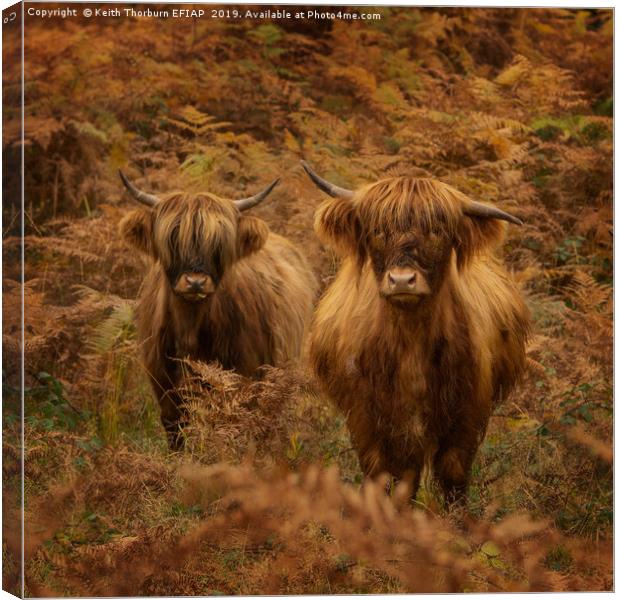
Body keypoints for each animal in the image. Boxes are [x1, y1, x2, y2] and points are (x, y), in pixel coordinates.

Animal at [119, 171, 318, 448]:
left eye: (218, 244)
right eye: (173, 238)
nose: (195, 282)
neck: (189, 329)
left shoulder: (241, 381)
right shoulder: (163, 384)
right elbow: (175, 430)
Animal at [302, 162, 532, 504]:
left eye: (437, 231)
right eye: (377, 231)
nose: (402, 280)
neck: (410, 339)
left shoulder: (467, 413)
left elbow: (452, 475)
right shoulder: (367, 419)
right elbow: (387, 477)